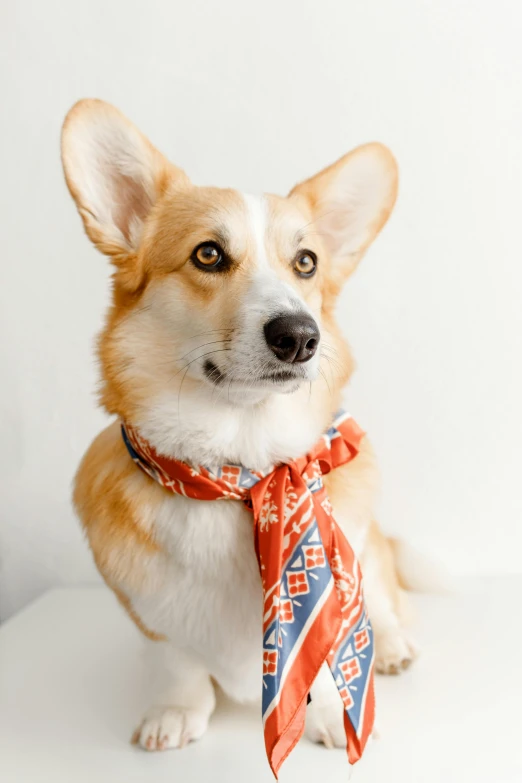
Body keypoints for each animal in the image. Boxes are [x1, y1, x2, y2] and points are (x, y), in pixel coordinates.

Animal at [61, 98, 416, 752]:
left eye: (306, 263)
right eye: (208, 254)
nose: (299, 336)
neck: (243, 471)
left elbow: (329, 647)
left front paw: (329, 715)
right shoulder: (151, 620)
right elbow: (176, 662)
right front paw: (175, 711)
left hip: (370, 547)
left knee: (382, 592)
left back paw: (392, 645)